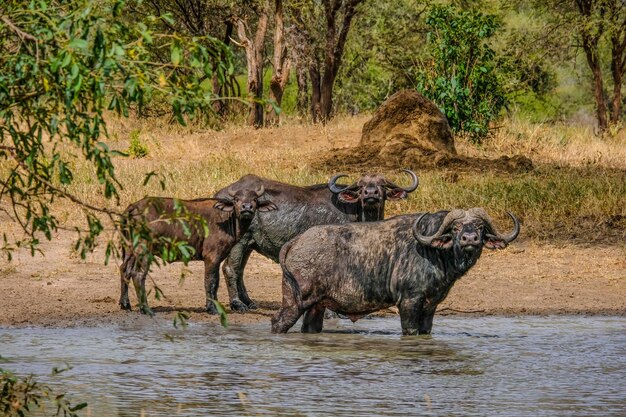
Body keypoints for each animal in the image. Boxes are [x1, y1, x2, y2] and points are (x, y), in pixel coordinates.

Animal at [119, 184, 276, 314]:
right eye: (236, 199)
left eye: (254, 199)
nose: (246, 208)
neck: (227, 220)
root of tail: (133, 207)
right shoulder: (211, 257)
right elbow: (211, 281)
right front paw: (212, 308)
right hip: (144, 250)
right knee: (138, 274)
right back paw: (146, 309)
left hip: (129, 250)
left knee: (124, 269)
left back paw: (125, 304)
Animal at [212, 169, 416, 308]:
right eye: (361, 186)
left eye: (381, 185)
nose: (371, 194)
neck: (356, 212)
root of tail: (220, 195)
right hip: (240, 242)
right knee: (231, 268)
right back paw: (238, 304)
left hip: (249, 244)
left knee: (240, 271)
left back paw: (249, 302)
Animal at [270, 208, 520, 334]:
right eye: (456, 227)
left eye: (480, 227)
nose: (470, 238)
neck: (434, 251)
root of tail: (297, 240)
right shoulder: (409, 301)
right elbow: (409, 330)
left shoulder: (431, 305)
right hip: (294, 302)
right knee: (277, 323)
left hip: (317, 307)